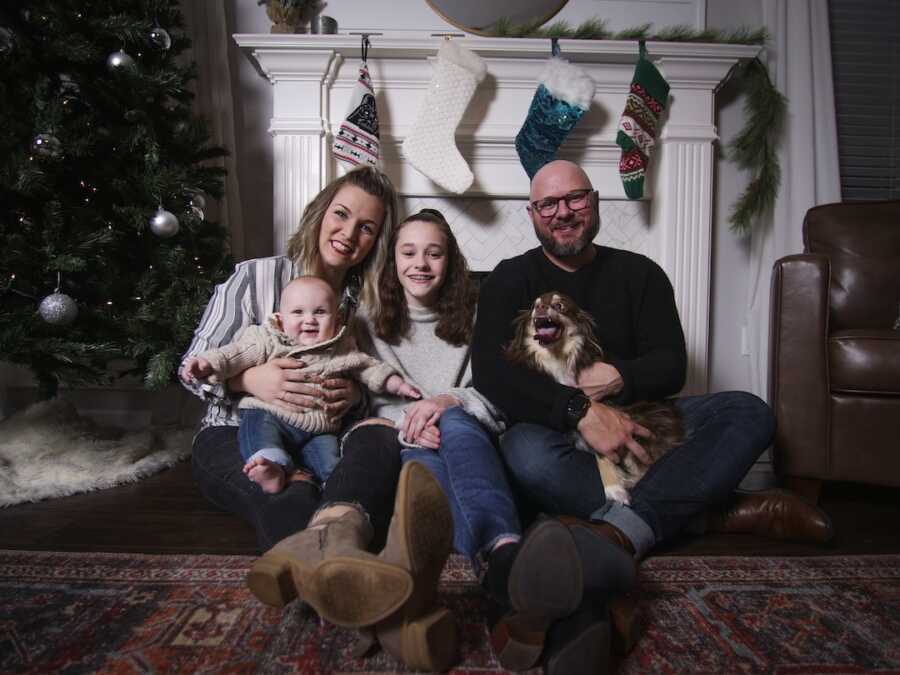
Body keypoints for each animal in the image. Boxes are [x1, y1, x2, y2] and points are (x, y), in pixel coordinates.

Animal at [502, 294, 684, 504]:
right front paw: (616, 486)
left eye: (559, 305)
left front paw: (614, 488)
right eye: (534, 305)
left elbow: (604, 452)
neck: (558, 358)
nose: (540, 308)